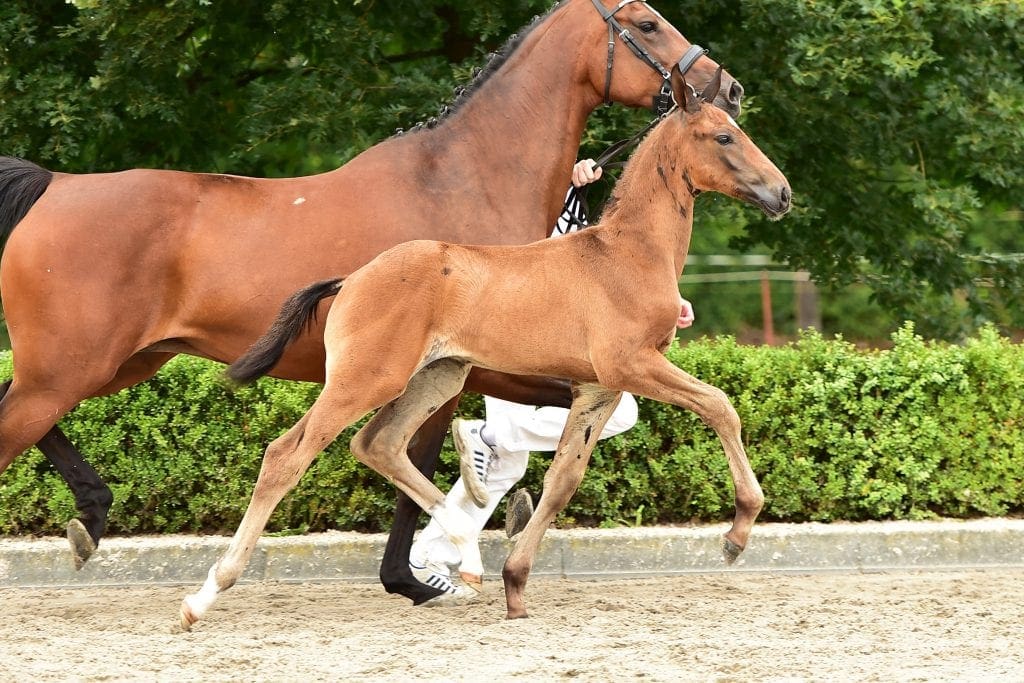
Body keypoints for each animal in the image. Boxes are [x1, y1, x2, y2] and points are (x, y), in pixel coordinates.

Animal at [0, 0, 744, 605]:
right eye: (646, 22)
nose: (726, 87)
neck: (463, 177)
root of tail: (54, 185)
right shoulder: (479, 363)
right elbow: (423, 456)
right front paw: (422, 572)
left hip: (114, 364)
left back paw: (90, 518)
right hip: (68, 369)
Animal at [178, 67, 790, 628]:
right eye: (724, 136)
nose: (782, 193)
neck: (625, 254)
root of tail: (351, 279)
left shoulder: (598, 389)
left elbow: (563, 480)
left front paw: (515, 585)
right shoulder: (631, 365)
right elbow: (720, 405)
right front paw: (738, 533)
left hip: (438, 375)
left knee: (379, 444)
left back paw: (467, 555)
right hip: (366, 379)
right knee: (287, 455)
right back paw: (204, 596)